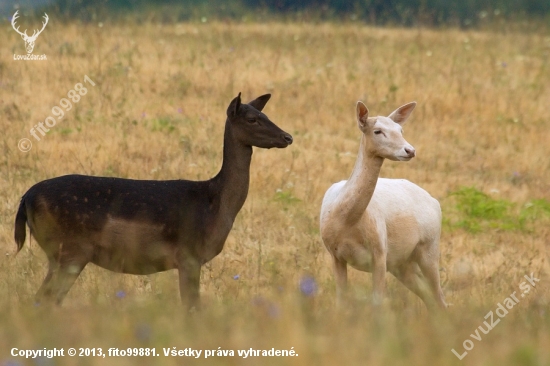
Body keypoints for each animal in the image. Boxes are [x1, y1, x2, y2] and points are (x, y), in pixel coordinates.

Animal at [14, 93, 294, 308]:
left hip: (59, 255)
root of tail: (25, 199)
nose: (288, 137)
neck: (216, 204)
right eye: (252, 119)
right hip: (70, 250)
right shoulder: (189, 255)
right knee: (45, 299)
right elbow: (192, 308)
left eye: (266, 114)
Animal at [324, 101, 448, 310]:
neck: (346, 222)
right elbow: (341, 300)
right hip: (402, 263)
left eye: (400, 129)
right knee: (429, 296)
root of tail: (435, 201)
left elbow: (378, 300)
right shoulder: (335, 255)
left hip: (429, 247)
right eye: (378, 131)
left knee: (439, 296)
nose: (410, 150)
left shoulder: (380, 252)